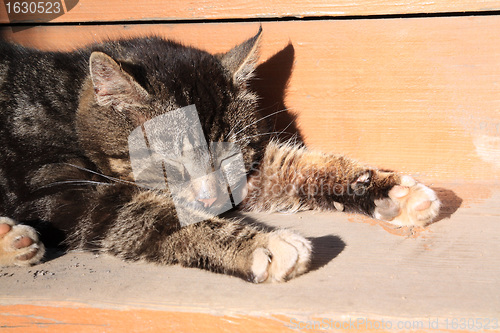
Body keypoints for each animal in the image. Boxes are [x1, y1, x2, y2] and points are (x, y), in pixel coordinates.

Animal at [0, 28, 438, 282]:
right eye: (171, 163)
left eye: (228, 157)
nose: (210, 198)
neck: (67, 101)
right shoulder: (62, 189)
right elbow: (149, 213)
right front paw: (260, 245)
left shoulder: (246, 173)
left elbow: (291, 165)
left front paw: (391, 190)